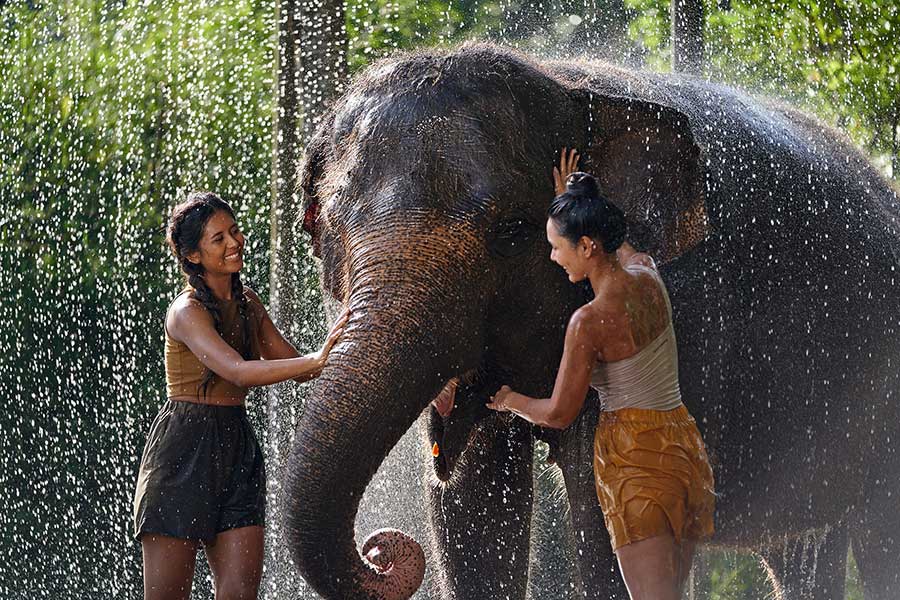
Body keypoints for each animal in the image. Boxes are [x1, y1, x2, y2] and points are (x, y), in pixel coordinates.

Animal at [283, 42, 900, 600]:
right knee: (803, 551)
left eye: (512, 232)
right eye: (321, 226)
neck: (561, 82)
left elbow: (599, 500)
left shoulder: (688, 314)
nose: (381, 550)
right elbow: (473, 506)